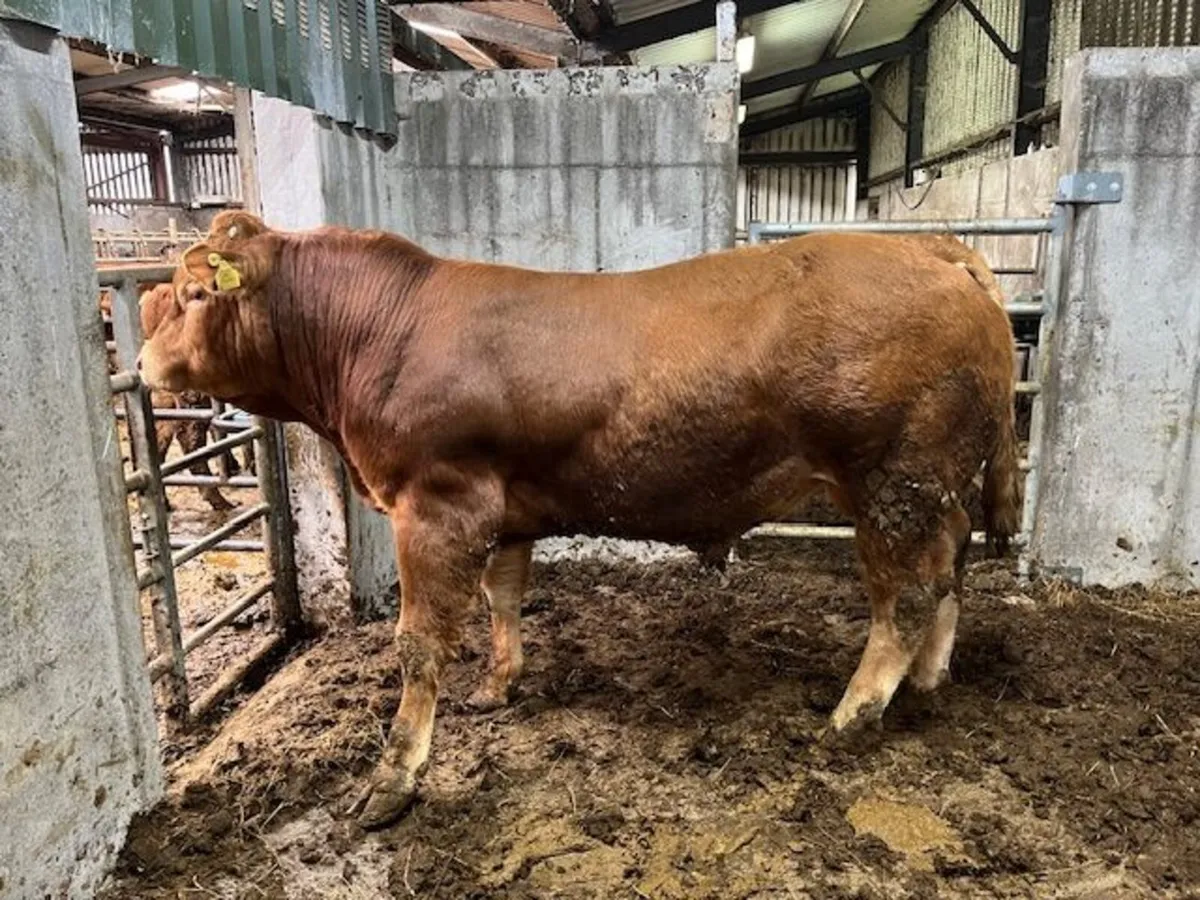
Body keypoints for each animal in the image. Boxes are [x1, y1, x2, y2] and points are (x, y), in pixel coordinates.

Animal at [137, 210, 1021, 829]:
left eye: (193, 293)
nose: (140, 364)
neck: (381, 329)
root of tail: (938, 250)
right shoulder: (504, 504)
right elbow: (504, 594)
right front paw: (498, 685)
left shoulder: (436, 504)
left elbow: (419, 643)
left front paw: (394, 777)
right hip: (936, 487)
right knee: (951, 567)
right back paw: (927, 682)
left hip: (895, 481)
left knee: (904, 596)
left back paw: (854, 712)